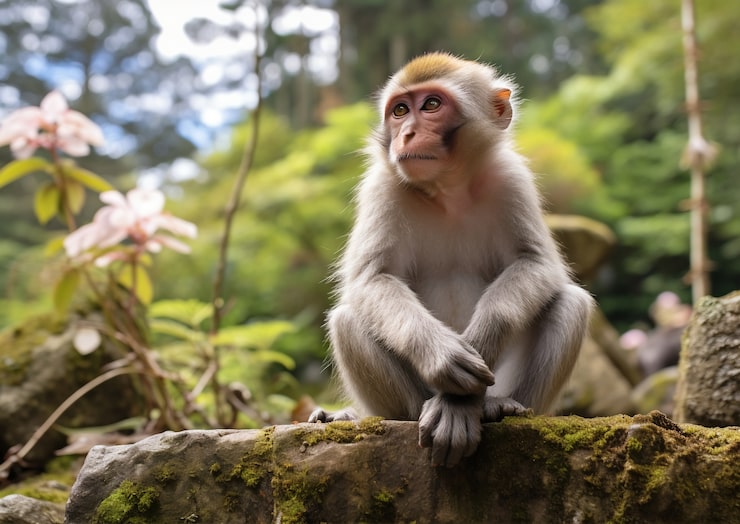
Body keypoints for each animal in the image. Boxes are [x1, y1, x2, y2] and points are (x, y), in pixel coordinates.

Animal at [309, 52, 594, 467]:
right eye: (399, 110)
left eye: (431, 105)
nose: (407, 135)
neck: (448, 191)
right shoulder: (381, 187)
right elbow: (372, 278)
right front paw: (442, 356)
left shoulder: (512, 178)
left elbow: (536, 263)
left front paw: (483, 338)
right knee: (348, 320)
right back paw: (418, 409)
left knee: (572, 302)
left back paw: (498, 406)